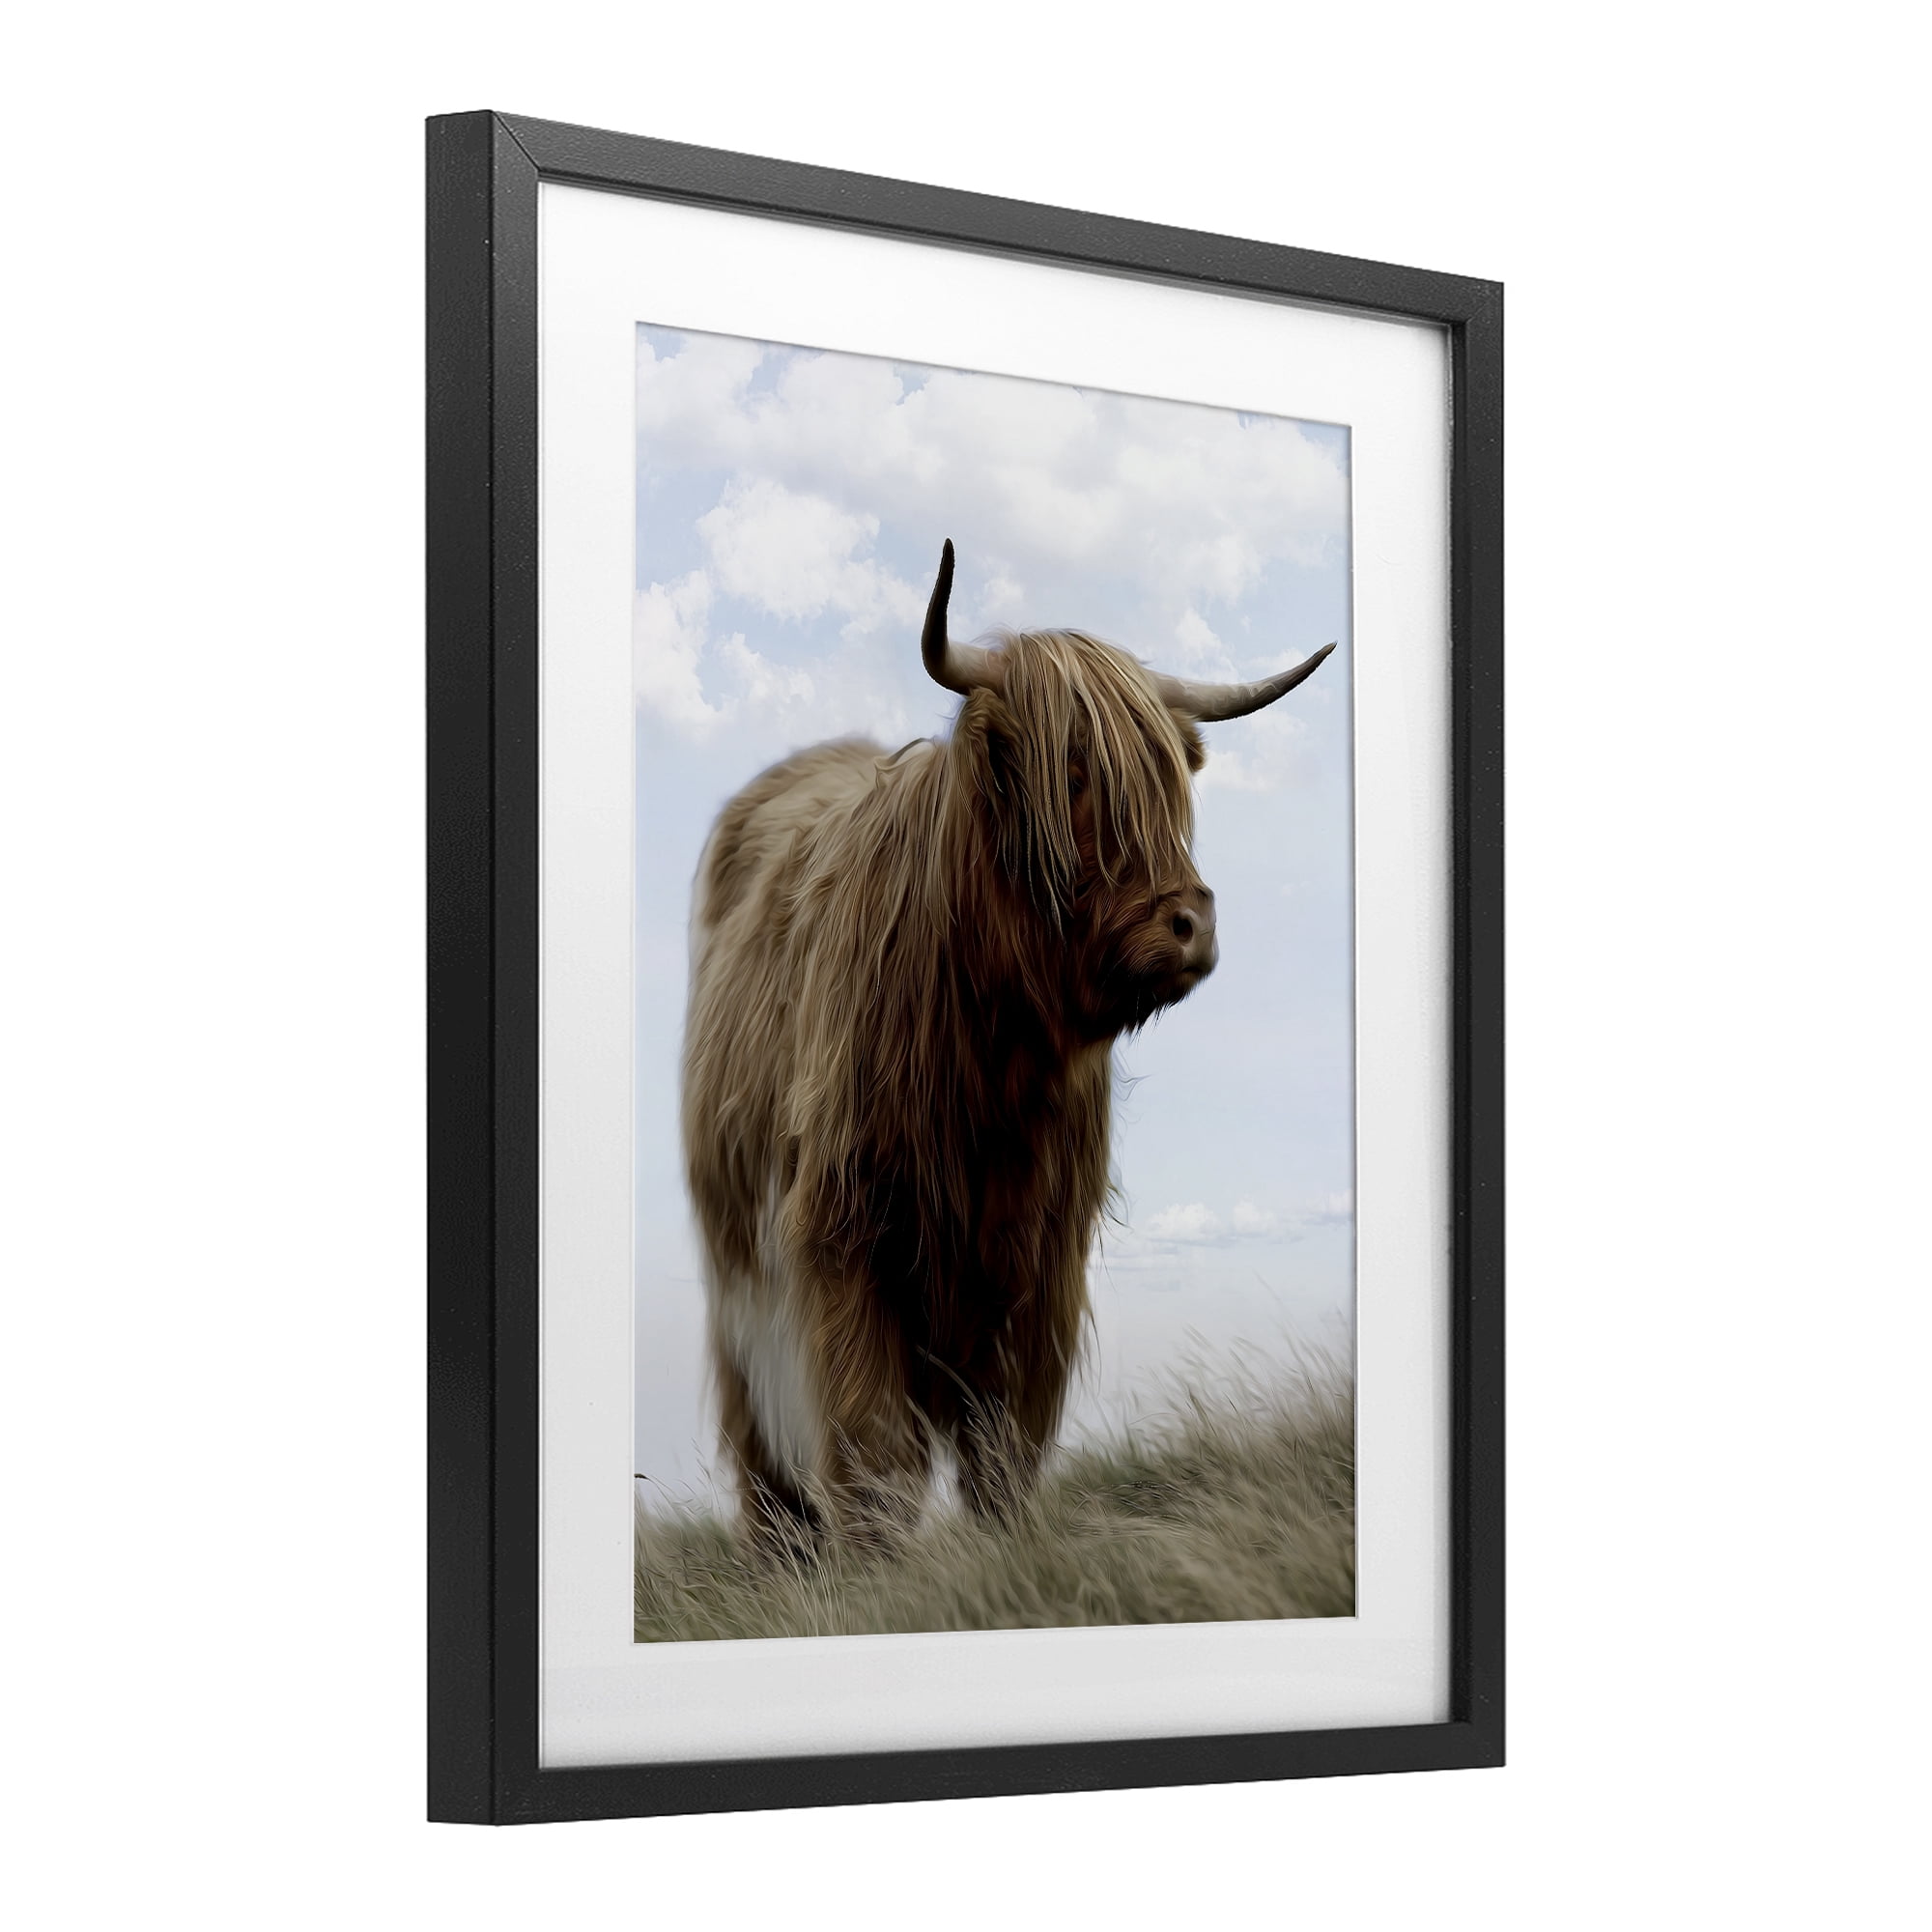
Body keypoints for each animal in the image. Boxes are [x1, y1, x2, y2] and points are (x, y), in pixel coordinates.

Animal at [681, 540, 1333, 1543]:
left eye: (1172, 780)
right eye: (1071, 771)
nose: (1191, 923)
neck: (993, 1061)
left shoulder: (1042, 1260)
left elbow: (1005, 1443)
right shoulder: (842, 1231)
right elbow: (871, 1441)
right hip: (739, 1277)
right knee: (764, 1446)